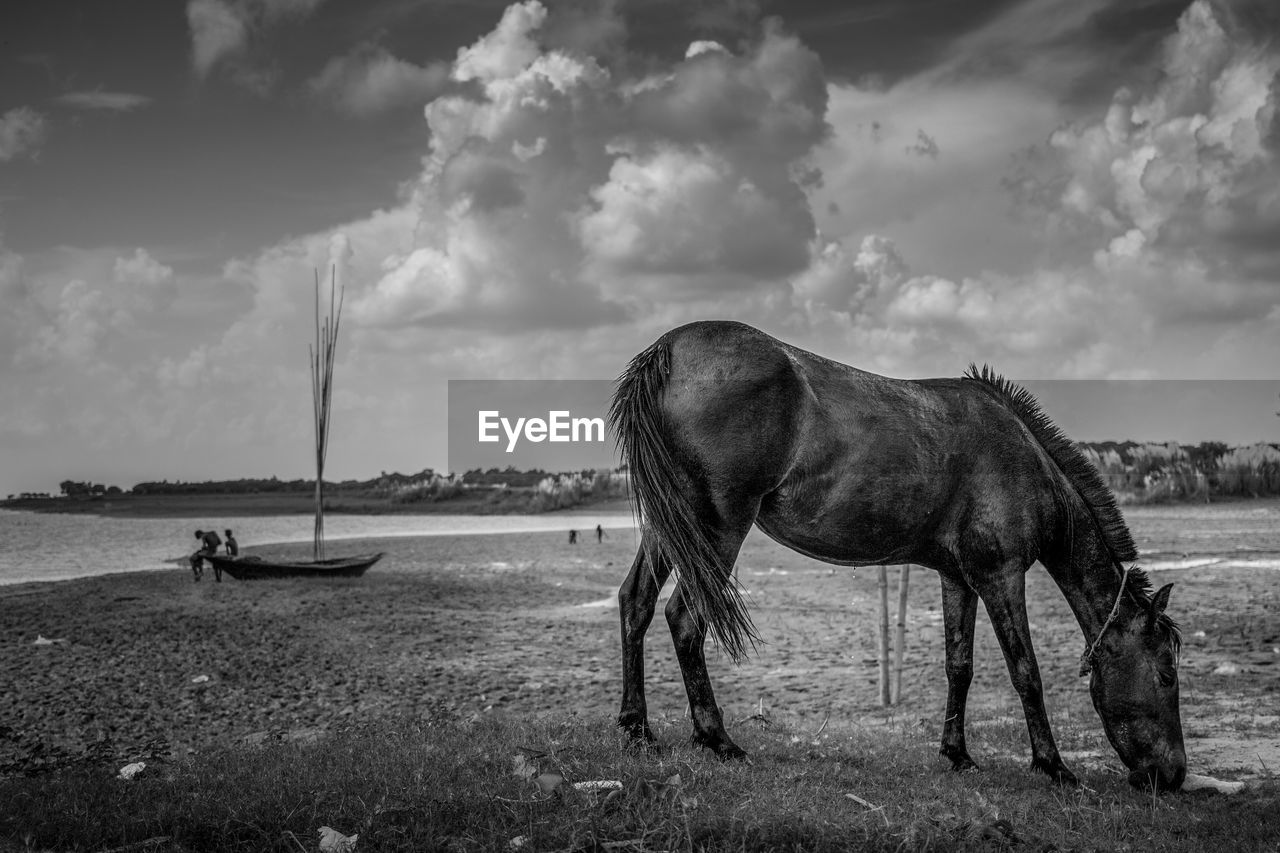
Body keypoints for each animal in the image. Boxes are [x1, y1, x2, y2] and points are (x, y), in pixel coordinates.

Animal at [609, 320, 1187, 788]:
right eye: (1166, 674)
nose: (1172, 776)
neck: (1023, 460)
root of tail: (668, 349)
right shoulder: (1000, 576)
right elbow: (1026, 670)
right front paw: (1054, 766)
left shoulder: (960, 578)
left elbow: (960, 665)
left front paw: (958, 755)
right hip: (717, 528)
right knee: (686, 618)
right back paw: (717, 739)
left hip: (670, 525)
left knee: (636, 603)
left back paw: (637, 729)